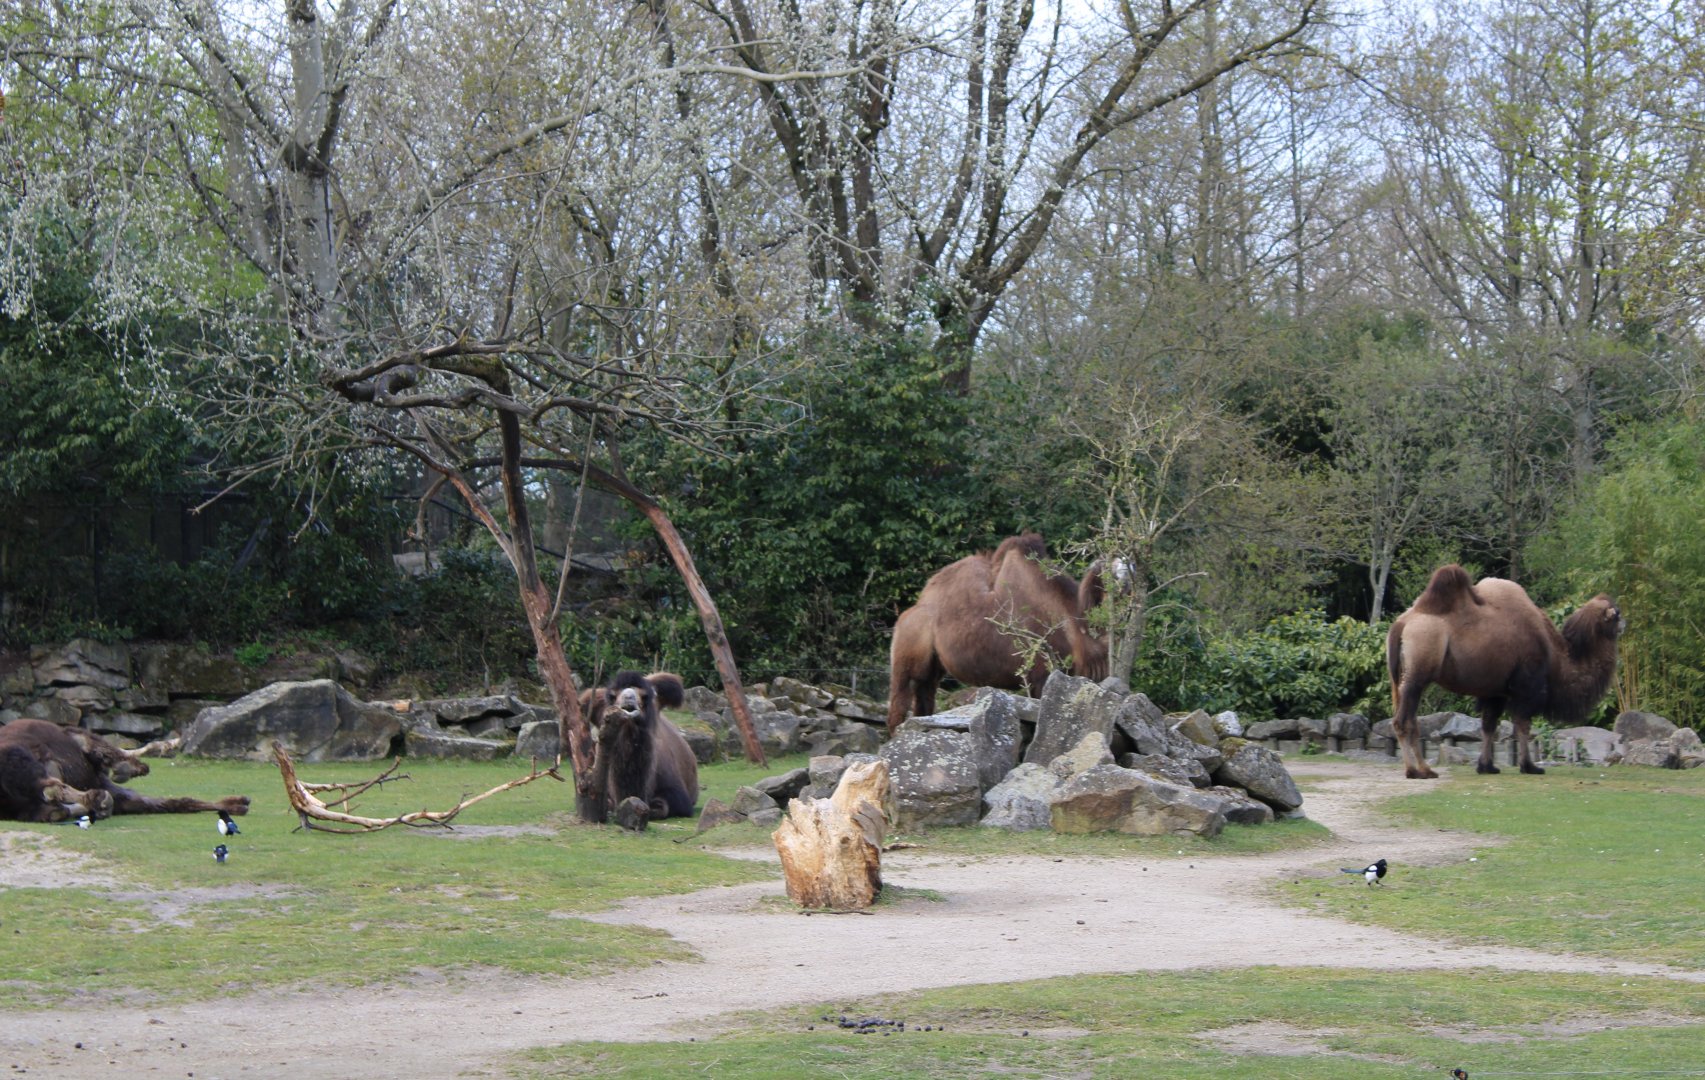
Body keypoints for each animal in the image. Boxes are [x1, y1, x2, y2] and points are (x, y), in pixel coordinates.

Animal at [887, 533, 1108, 733]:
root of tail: (912, 609)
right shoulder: (1041, 676)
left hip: (933, 668)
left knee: (924, 696)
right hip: (907, 651)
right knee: (899, 705)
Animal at [1386, 565, 1624, 779]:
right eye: (1616, 615)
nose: (1625, 624)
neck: (1556, 655)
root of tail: (1401, 625)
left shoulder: (1496, 691)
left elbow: (1489, 725)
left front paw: (1487, 766)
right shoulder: (1527, 686)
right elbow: (1523, 725)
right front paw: (1529, 766)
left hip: (1407, 677)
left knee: (1412, 721)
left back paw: (1425, 769)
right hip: (1418, 670)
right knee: (1402, 721)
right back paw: (1415, 771)